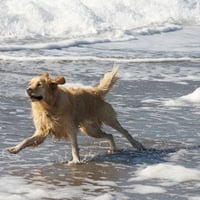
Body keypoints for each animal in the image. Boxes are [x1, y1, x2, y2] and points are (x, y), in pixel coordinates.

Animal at [7, 66, 145, 163]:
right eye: (29, 84)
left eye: (39, 84)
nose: (28, 90)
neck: (49, 105)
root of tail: (96, 91)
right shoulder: (42, 130)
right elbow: (27, 140)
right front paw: (14, 149)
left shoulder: (70, 128)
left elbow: (74, 146)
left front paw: (76, 161)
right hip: (90, 129)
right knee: (109, 135)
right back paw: (113, 149)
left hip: (107, 118)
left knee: (124, 131)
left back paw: (138, 145)